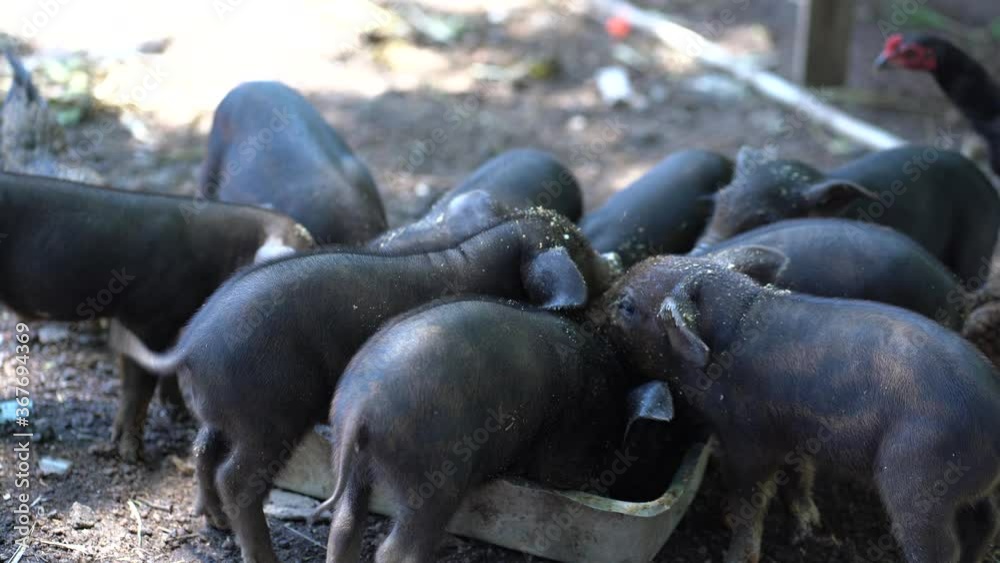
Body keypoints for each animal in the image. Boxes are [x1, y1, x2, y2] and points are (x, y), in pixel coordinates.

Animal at [110, 206, 619, 563]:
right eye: (578, 248)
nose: (613, 261)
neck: (479, 258)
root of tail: (189, 345)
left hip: (228, 415)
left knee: (202, 451)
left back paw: (214, 523)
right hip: (268, 421)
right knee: (236, 478)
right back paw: (261, 552)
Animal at [314, 297, 672, 563]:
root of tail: (360, 407)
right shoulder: (562, 449)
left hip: (353, 464)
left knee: (344, 526)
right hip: (434, 481)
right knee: (397, 550)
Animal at [596, 249, 1000, 563]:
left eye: (627, 306)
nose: (599, 307)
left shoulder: (748, 439)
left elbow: (752, 500)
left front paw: (736, 550)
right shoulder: (795, 433)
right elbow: (800, 475)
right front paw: (805, 527)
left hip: (918, 478)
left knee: (942, 546)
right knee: (986, 524)